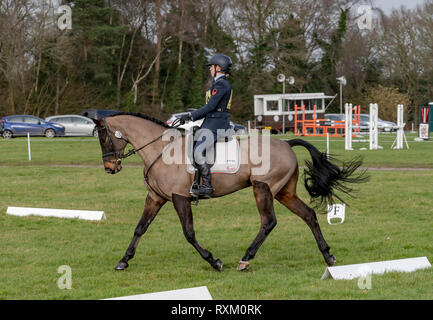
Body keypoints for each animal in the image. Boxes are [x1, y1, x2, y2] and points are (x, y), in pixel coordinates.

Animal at [93, 112, 366, 272]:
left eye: (104, 137)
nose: (110, 168)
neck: (162, 149)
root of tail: (287, 143)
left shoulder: (180, 198)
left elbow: (189, 233)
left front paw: (214, 261)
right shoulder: (156, 197)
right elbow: (140, 228)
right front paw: (124, 260)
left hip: (263, 188)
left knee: (268, 221)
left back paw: (246, 259)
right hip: (284, 192)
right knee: (308, 214)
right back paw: (328, 256)